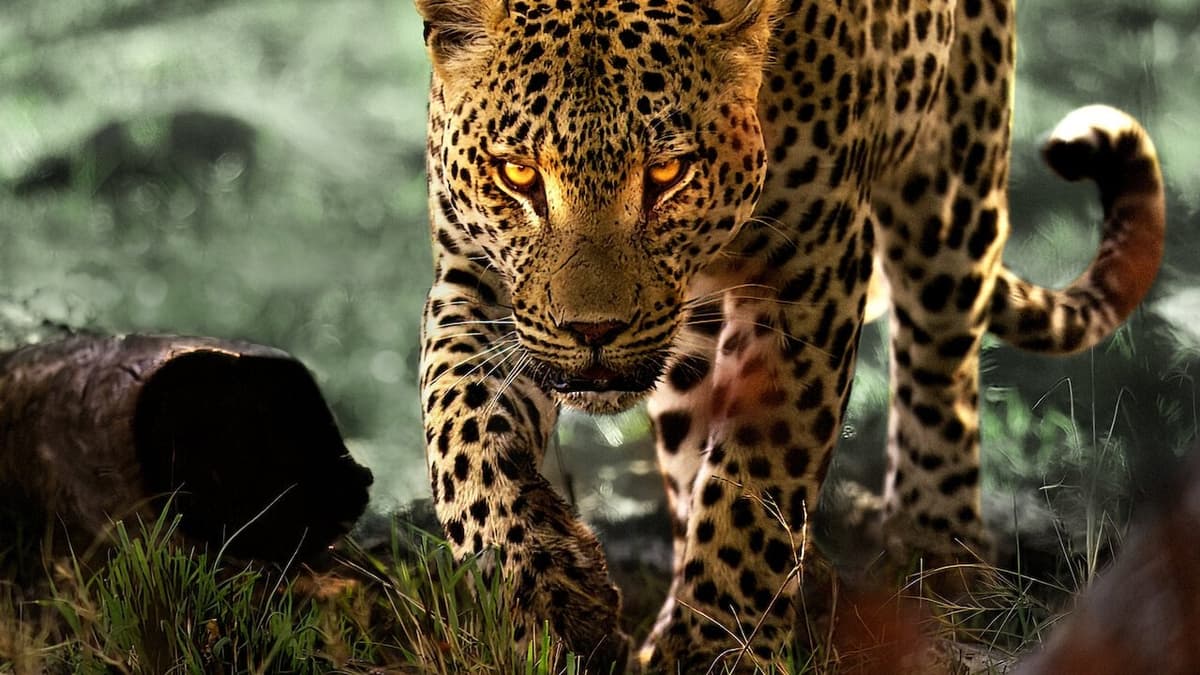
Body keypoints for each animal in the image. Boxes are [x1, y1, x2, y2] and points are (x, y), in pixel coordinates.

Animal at [413, 0, 1165, 670]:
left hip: (952, 180)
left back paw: (938, 558)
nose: (594, 330)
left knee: (939, 366)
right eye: (517, 174)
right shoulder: (478, 276)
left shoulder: (811, 267)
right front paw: (549, 593)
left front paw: (715, 647)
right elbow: (463, 429)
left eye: (666, 173)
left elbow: (758, 474)